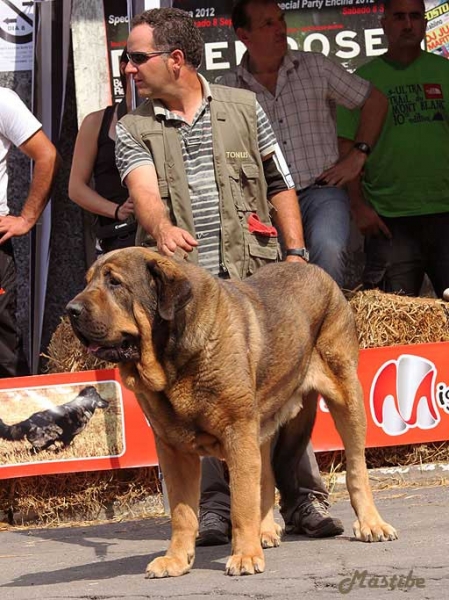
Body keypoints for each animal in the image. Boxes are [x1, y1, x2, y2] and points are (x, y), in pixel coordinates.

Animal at [66, 247, 396, 576]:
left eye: (115, 283)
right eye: (88, 281)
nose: (71, 309)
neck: (174, 360)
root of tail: (316, 270)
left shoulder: (237, 433)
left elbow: (242, 503)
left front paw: (245, 556)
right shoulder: (174, 450)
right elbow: (183, 513)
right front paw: (176, 559)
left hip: (346, 396)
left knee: (355, 466)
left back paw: (371, 524)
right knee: (265, 477)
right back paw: (265, 531)